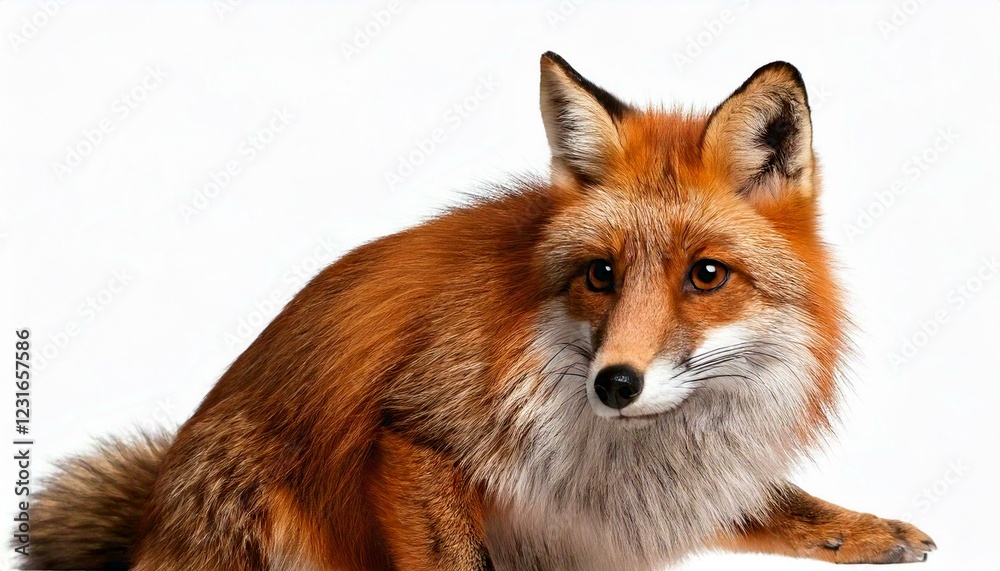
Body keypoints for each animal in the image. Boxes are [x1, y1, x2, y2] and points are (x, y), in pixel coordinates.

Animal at [24, 52, 936, 571]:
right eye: (601, 274)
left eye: (706, 275)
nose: (616, 383)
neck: (630, 457)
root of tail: (150, 520)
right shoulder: (417, 429)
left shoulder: (623, 517)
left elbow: (788, 505)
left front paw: (870, 530)